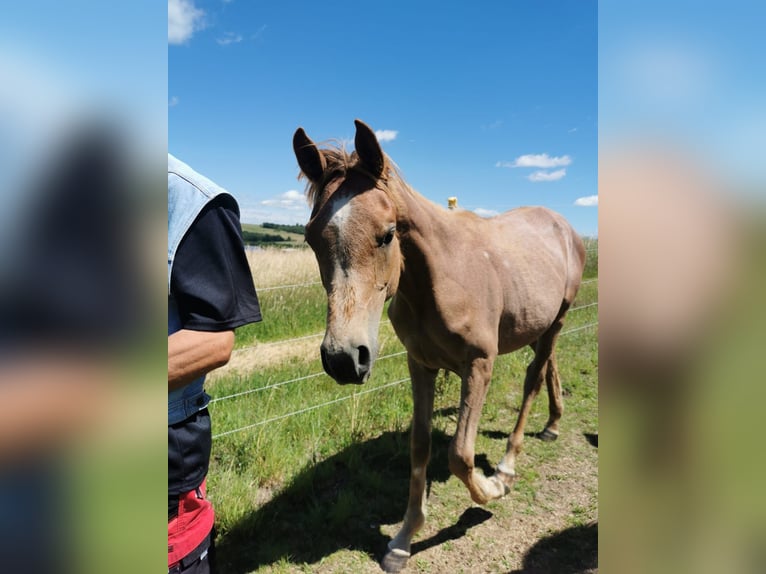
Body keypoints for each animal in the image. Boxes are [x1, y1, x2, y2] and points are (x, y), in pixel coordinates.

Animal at [293, 119, 586, 573]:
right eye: (310, 238)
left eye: (387, 234)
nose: (343, 359)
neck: (439, 278)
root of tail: (563, 225)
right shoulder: (421, 365)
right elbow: (420, 446)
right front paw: (402, 540)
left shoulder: (479, 366)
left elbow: (460, 454)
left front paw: (489, 492)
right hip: (541, 325)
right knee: (548, 367)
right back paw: (553, 424)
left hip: (557, 321)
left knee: (533, 381)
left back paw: (507, 467)